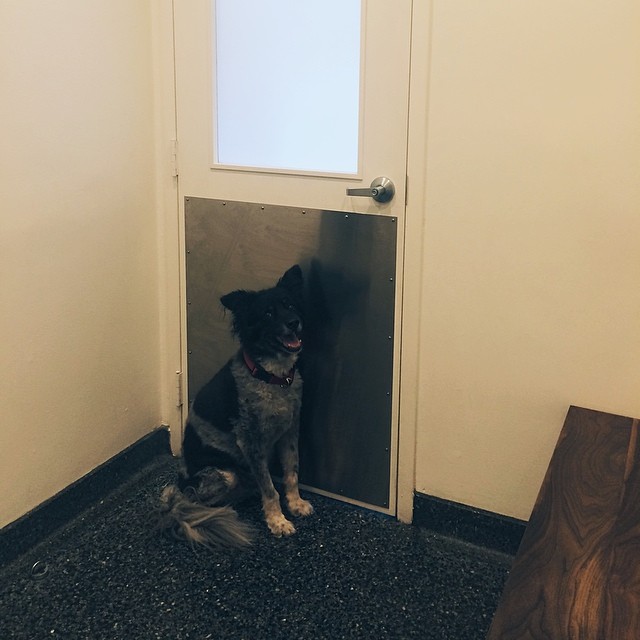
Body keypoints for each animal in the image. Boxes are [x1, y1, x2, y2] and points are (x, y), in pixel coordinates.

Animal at [158, 264, 312, 552]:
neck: (271, 377)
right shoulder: (251, 442)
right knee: (198, 501)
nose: (293, 322)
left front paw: (295, 504)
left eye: (290, 304)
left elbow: (292, 472)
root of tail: (180, 486)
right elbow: (270, 489)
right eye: (267, 313)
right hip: (221, 476)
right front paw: (277, 521)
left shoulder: (289, 432)